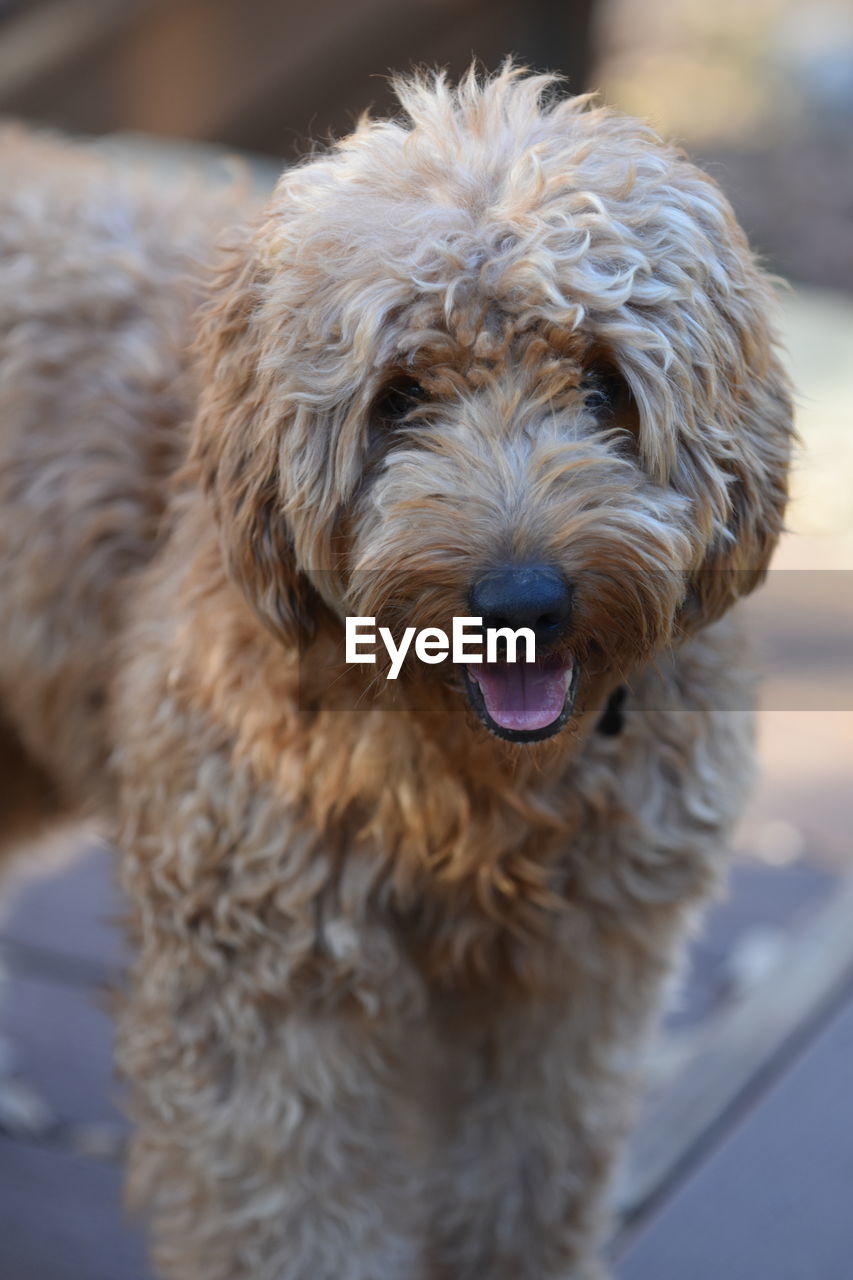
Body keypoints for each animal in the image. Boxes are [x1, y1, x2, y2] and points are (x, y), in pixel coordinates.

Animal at [0, 67, 788, 1280]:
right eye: (401, 395)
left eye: (602, 384)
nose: (521, 599)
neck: (476, 790)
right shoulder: (270, 989)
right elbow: (293, 1221)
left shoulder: (575, 982)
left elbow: (524, 1193)